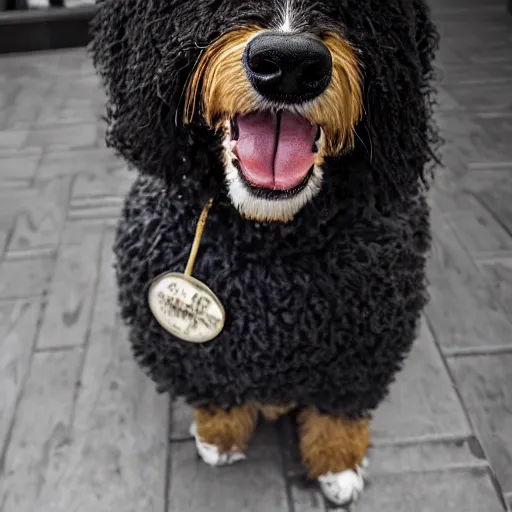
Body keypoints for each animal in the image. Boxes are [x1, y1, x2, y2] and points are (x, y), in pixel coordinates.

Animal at [90, 0, 438, 504]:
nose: (290, 65)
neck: (270, 241)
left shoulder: (366, 342)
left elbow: (339, 410)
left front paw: (338, 464)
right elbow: (216, 388)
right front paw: (219, 435)